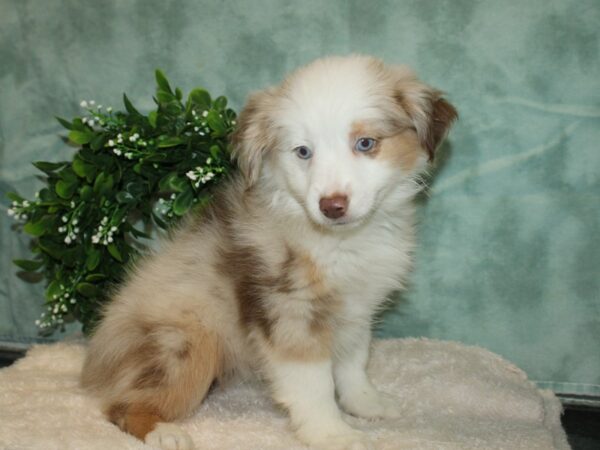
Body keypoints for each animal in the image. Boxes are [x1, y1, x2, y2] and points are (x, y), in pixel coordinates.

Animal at [79, 54, 454, 448]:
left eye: (365, 143)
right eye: (303, 152)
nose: (332, 206)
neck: (340, 240)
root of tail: (96, 363)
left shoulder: (355, 309)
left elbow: (353, 363)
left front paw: (367, 404)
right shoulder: (290, 312)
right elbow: (314, 386)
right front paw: (333, 434)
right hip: (186, 344)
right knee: (118, 406)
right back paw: (164, 432)